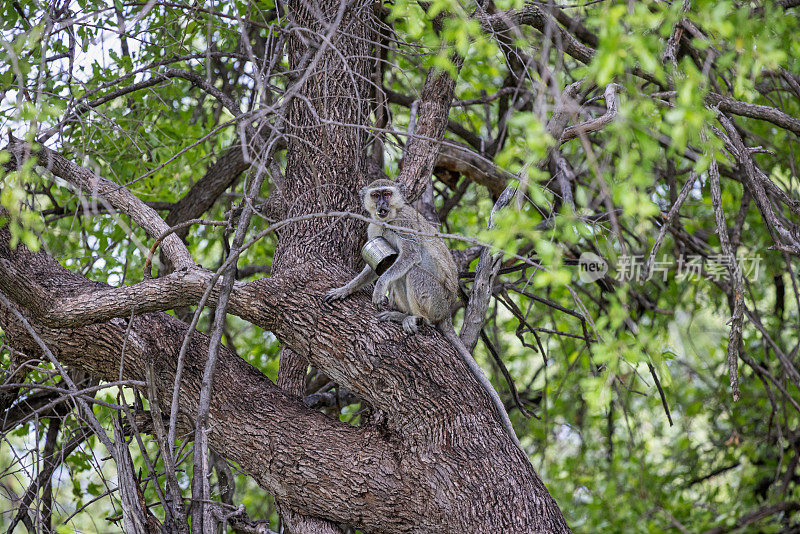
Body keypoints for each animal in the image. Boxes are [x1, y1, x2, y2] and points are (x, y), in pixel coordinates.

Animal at [324, 179, 524, 452]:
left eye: (387, 194)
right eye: (376, 195)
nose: (382, 205)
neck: (389, 219)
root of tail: (447, 311)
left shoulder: (404, 224)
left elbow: (409, 256)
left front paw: (379, 287)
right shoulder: (374, 227)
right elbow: (374, 267)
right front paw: (345, 289)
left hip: (436, 300)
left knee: (412, 271)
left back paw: (416, 318)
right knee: (398, 271)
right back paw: (400, 313)